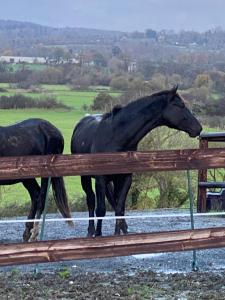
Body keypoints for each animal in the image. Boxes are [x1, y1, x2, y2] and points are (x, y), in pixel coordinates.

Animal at [71, 86, 202, 237]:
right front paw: (99, 235)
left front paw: (118, 235)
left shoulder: (125, 179)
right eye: (179, 105)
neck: (115, 136)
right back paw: (91, 231)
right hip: (85, 178)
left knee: (113, 202)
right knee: (91, 201)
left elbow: (120, 208)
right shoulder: (100, 179)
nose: (198, 128)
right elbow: (101, 209)